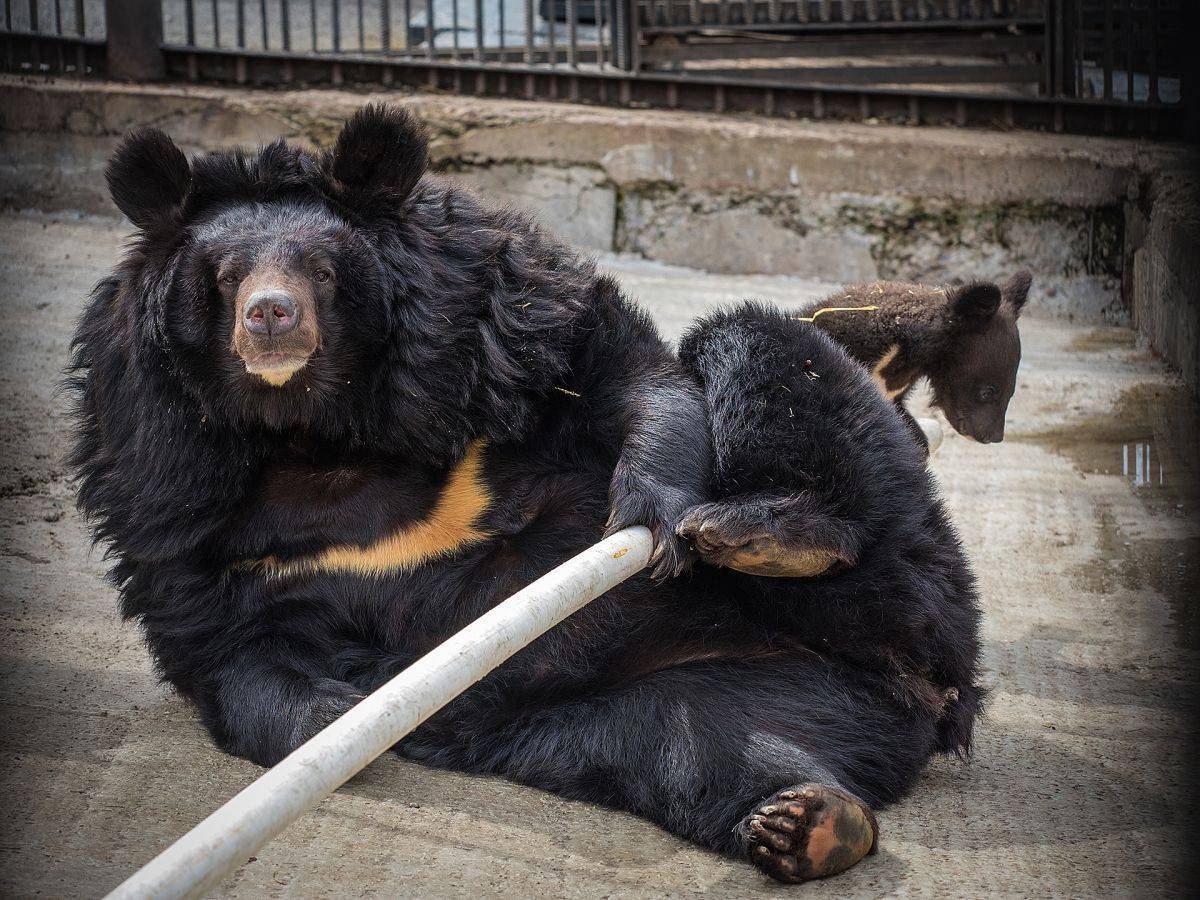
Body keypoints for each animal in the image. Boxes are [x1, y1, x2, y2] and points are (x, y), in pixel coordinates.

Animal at [68, 107, 984, 888]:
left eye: (323, 272)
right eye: (223, 277)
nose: (271, 318)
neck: (314, 432)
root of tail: (926, 687)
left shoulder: (482, 319)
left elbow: (618, 370)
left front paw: (649, 514)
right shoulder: (169, 488)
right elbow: (230, 645)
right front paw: (345, 716)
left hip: (912, 562)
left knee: (757, 350)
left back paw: (765, 535)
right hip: (741, 692)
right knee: (695, 745)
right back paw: (810, 824)